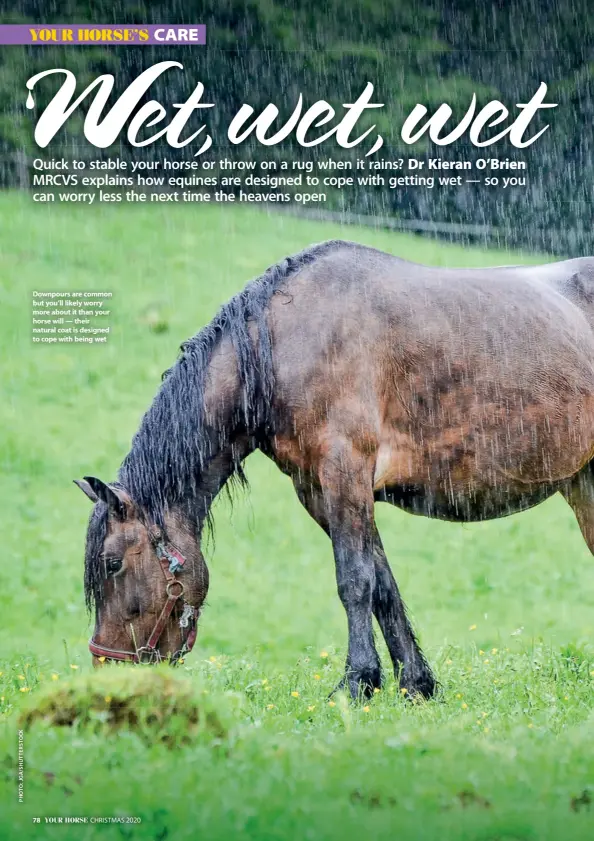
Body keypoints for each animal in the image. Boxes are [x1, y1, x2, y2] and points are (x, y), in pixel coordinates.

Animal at [75, 240, 594, 700]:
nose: (106, 672)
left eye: (112, 563)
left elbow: (354, 580)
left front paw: (356, 683)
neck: (282, 345)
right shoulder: (321, 491)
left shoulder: (345, 474)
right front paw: (414, 685)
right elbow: (381, 583)